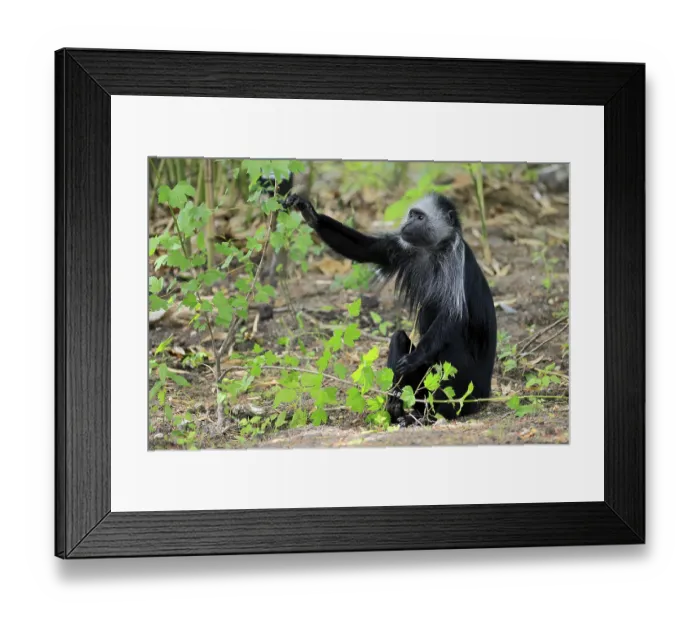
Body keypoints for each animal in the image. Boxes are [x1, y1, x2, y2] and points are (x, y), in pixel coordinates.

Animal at [283, 192, 497, 425]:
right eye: (412, 214)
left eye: (420, 218)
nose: (407, 223)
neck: (431, 250)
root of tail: (485, 393)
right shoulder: (401, 248)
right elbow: (365, 250)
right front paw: (310, 213)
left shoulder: (454, 261)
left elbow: (452, 314)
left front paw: (414, 358)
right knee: (399, 338)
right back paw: (397, 407)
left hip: (469, 386)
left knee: (451, 350)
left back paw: (435, 413)